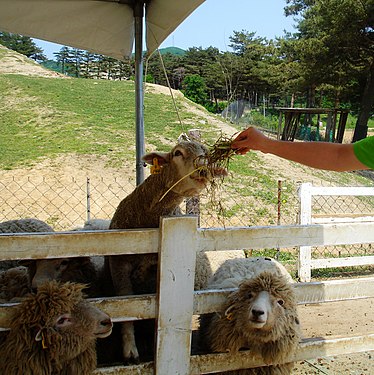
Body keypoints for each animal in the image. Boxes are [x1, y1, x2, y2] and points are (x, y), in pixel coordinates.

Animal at [106, 137, 226, 364]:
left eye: (207, 153)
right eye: (178, 153)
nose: (203, 169)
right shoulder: (118, 264)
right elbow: (125, 307)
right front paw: (130, 350)